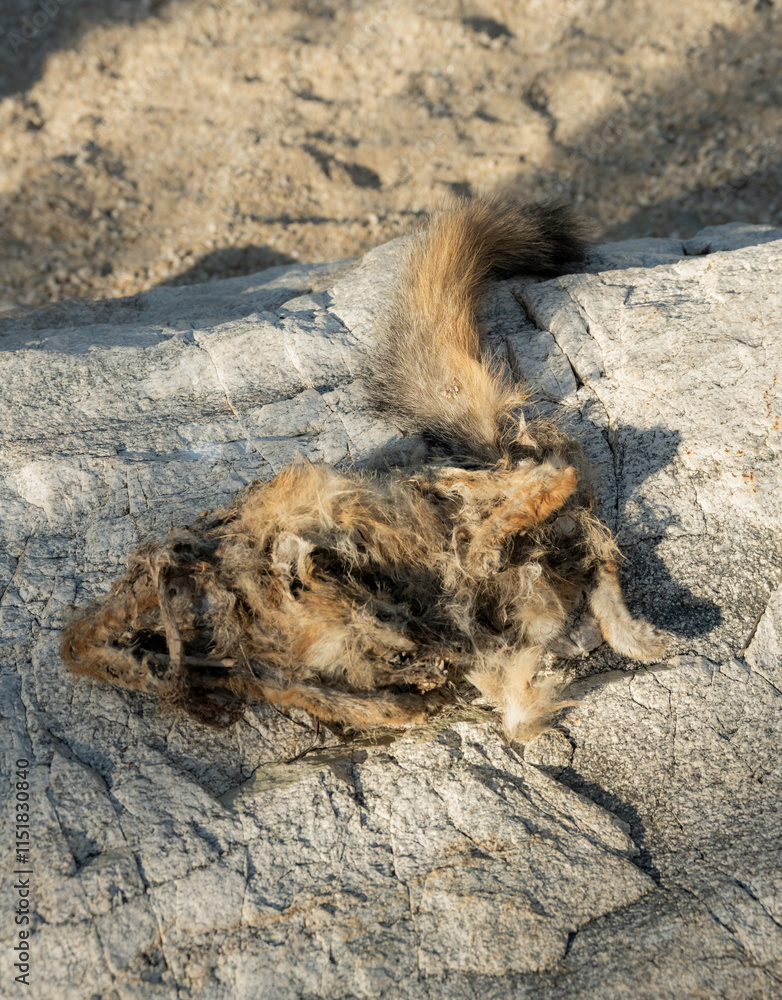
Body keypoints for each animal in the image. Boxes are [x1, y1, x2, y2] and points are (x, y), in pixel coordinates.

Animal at [61, 194, 666, 742]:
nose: (93, 648)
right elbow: (345, 694)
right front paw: (407, 696)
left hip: (479, 495)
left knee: (552, 485)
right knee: (579, 548)